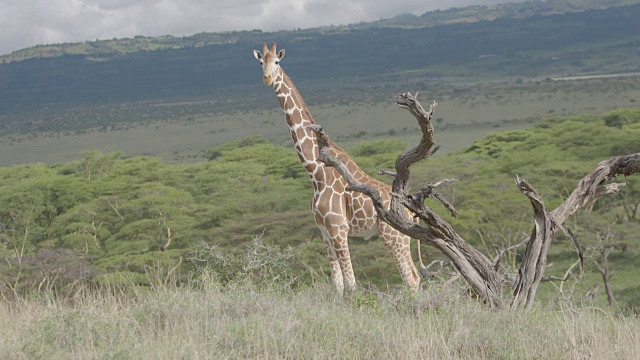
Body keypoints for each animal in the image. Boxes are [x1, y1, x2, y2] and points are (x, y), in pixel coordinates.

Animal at [252, 43, 422, 296]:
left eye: (277, 62)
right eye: (261, 61)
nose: (267, 78)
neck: (315, 172)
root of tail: (411, 211)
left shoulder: (338, 229)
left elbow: (351, 284)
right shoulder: (323, 231)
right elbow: (337, 283)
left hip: (393, 236)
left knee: (410, 279)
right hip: (403, 237)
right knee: (416, 276)